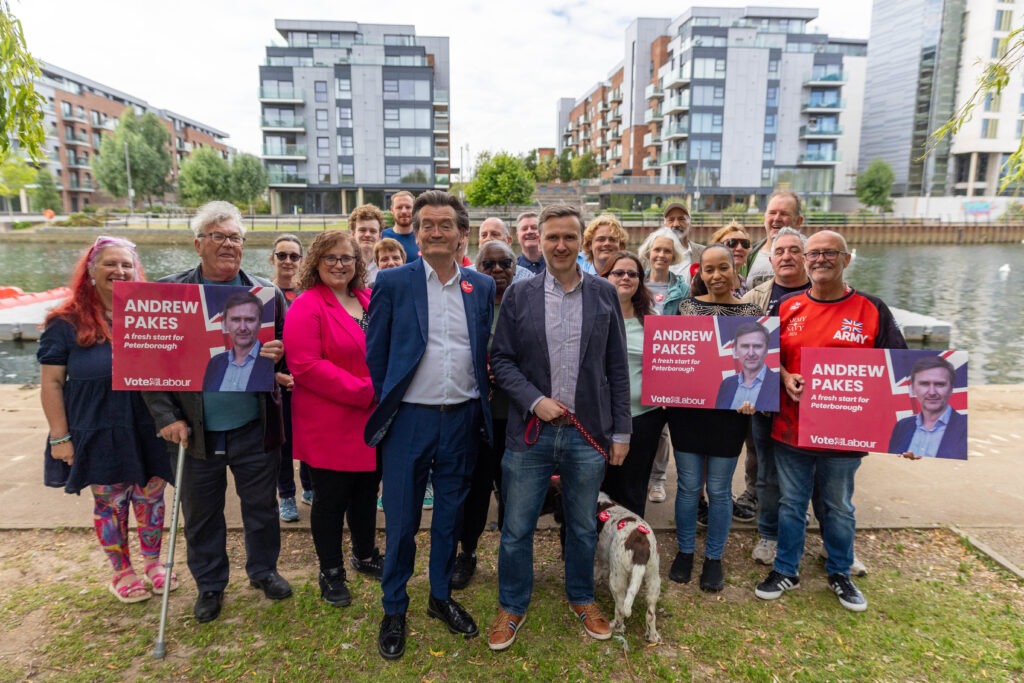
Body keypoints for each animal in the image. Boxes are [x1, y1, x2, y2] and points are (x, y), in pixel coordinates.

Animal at [593, 491, 663, 643]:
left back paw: (617, 626)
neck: (603, 503)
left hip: (617, 579)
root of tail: (641, 547)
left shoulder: (602, 560)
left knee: (620, 608)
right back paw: (652, 636)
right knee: (650, 614)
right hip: (653, 578)